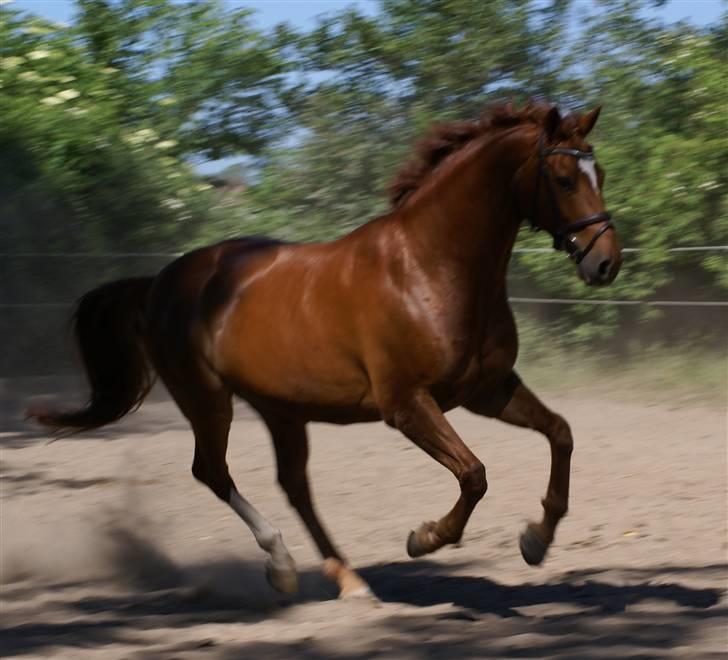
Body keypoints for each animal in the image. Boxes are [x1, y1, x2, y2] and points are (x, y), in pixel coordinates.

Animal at [28, 102, 620, 600]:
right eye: (565, 179)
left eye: (602, 175)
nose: (605, 263)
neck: (431, 268)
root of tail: (158, 283)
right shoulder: (407, 404)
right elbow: (474, 474)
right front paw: (425, 537)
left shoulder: (486, 390)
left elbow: (561, 433)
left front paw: (536, 541)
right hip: (208, 400)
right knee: (213, 472)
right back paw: (283, 565)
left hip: (281, 410)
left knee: (294, 486)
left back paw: (347, 578)